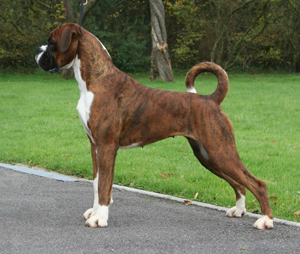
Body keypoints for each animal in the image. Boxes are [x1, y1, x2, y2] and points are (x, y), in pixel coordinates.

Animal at [35, 23, 274, 229]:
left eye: (52, 42)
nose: (38, 50)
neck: (96, 79)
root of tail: (211, 99)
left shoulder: (106, 147)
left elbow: (104, 186)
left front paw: (99, 218)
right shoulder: (95, 146)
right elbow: (96, 183)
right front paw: (94, 212)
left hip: (220, 150)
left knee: (257, 183)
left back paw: (266, 220)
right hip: (208, 155)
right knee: (239, 183)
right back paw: (239, 210)